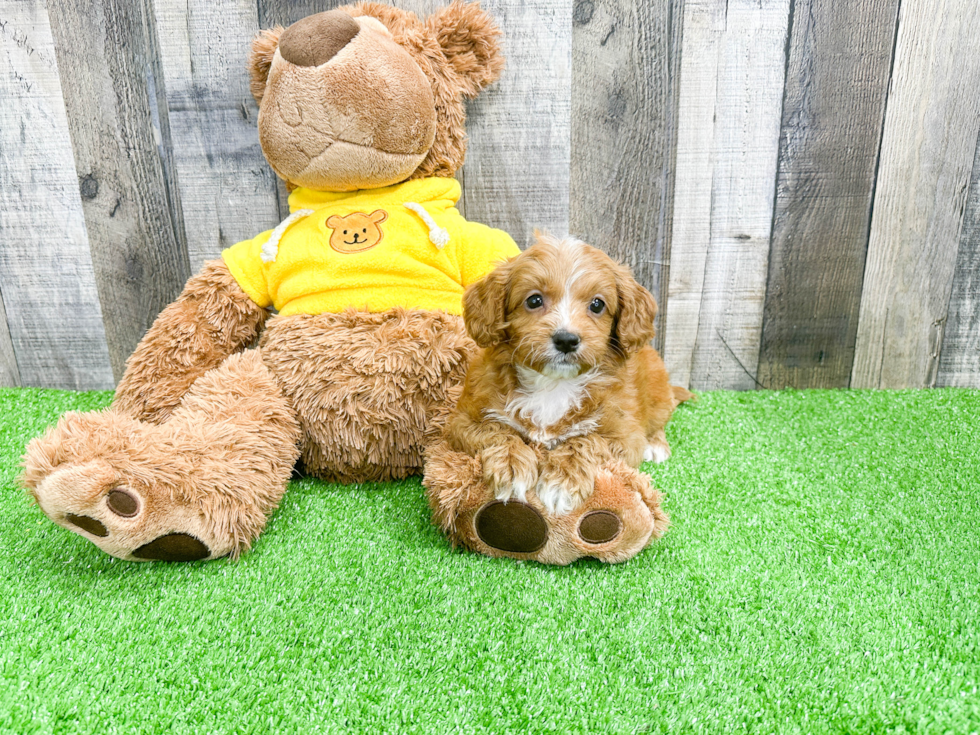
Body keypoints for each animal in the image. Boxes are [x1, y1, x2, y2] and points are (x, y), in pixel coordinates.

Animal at [444, 233, 688, 516]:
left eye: (597, 304)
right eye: (534, 300)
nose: (566, 340)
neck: (554, 384)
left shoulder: (625, 436)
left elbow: (587, 440)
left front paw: (562, 482)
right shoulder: (462, 421)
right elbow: (496, 430)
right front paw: (511, 464)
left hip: (659, 395)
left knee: (659, 420)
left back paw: (657, 446)